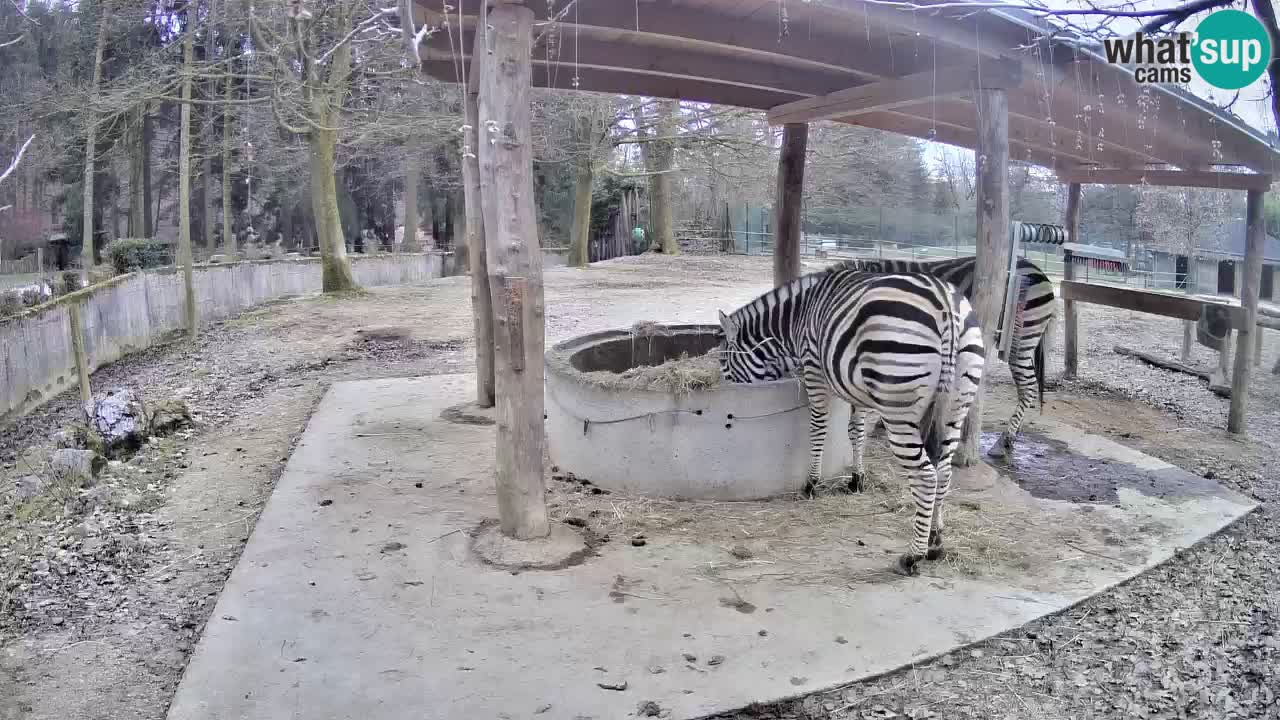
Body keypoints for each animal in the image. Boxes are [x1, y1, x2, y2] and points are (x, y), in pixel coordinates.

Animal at [716, 266, 983, 573]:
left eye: (723, 363)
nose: (725, 394)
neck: (797, 318)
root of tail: (947, 305)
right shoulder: (857, 388)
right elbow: (856, 431)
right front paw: (857, 479)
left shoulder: (814, 369)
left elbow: (818, 427)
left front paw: (812, 484)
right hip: (957, 403)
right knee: (944, 470)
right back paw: (936, 539)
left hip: (898, 405)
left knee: (926, 475)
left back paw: (913, 555)